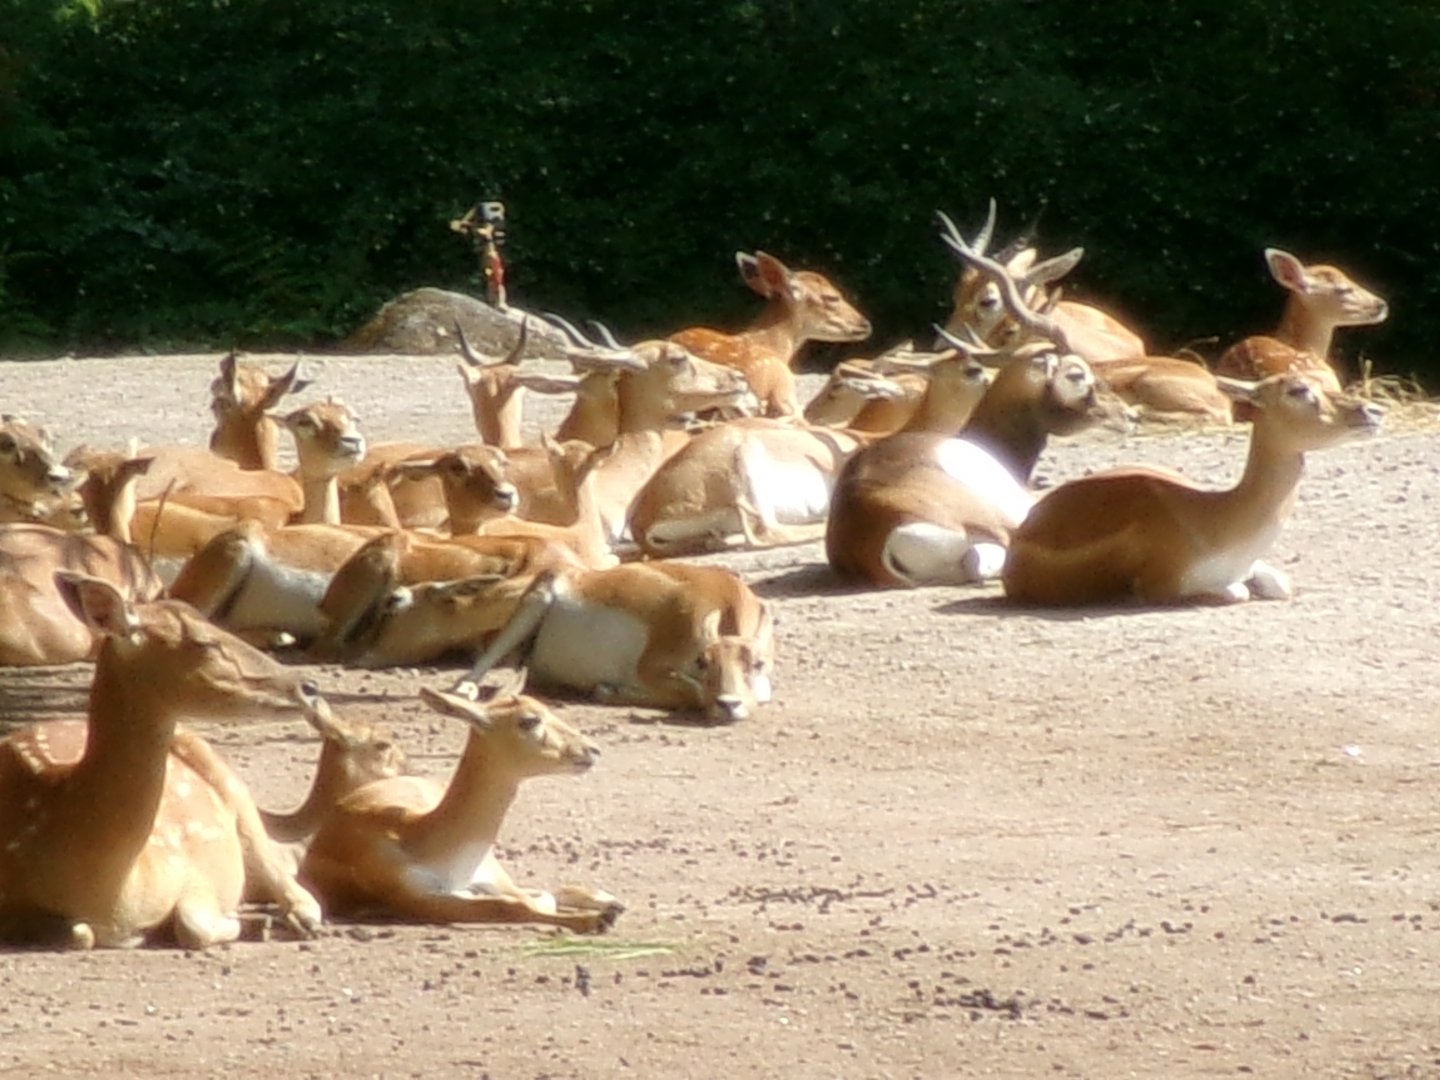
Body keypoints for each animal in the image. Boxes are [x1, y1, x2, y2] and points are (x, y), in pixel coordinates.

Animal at [0, 573, 325, 949]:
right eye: (205, 643)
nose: (309, 686)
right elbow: (80, 933)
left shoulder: (190, 866)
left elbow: (192, 924)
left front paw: (242, 922)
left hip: (225, 775)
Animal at [298, 669, 622, 932]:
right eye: (529, 721)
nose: (592, 750)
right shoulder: (416, 898)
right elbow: (509, 905)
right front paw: (594, 921)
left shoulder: (489, 879)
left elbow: (532, 899)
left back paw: (609, 901)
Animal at [1002, 372, 1383, 606]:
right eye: (1298, 390)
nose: (1373, 411)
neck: (1215, 516)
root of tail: (1024, 529)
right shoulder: (1162, 585)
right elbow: (1237, 592)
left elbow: (1280, 584)